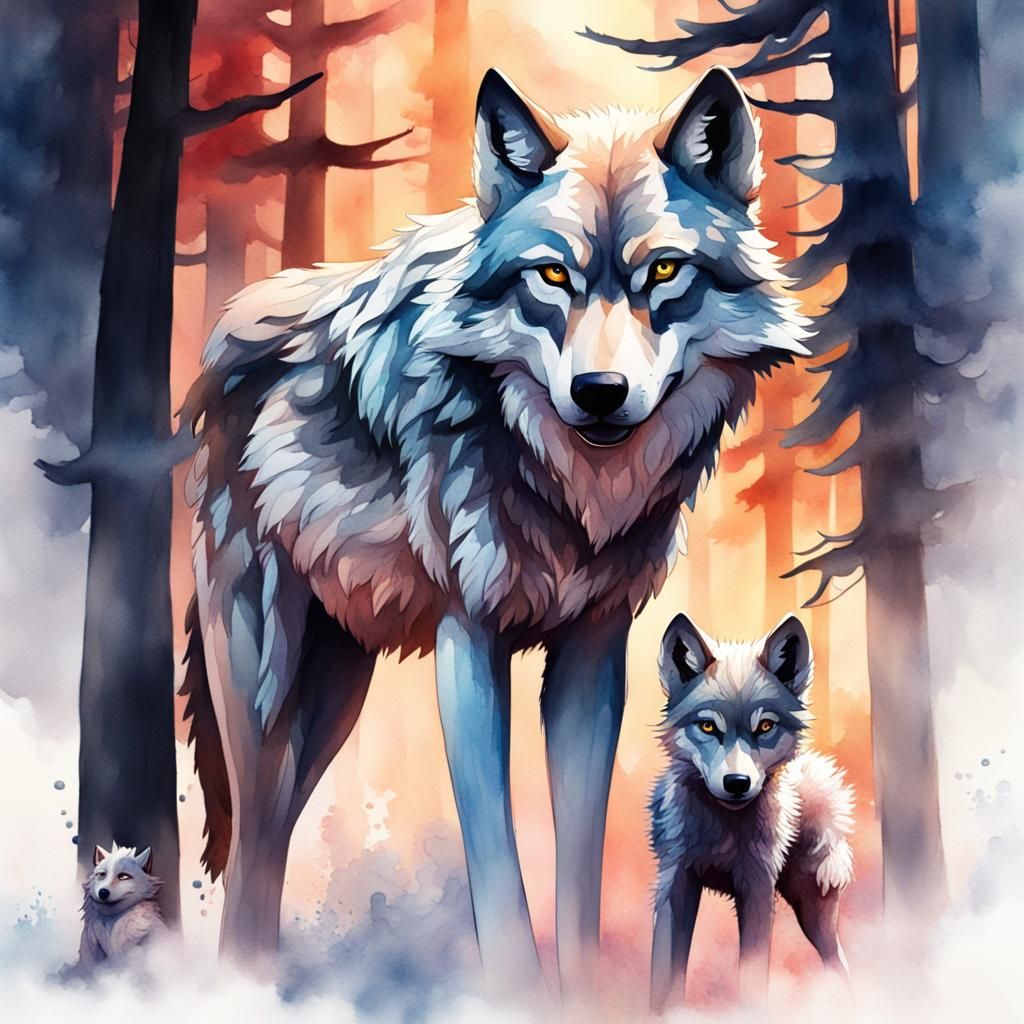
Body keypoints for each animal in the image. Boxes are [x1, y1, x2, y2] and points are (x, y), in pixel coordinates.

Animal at [180, 64, 810, 996]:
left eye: (665, 269)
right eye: (550, 276)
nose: (599, 392)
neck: (571, 488)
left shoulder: (594, 649)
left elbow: (579, 862)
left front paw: (584, 997)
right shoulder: (468, 638)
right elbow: (497, 865)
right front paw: (516, 996)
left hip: (336, 693)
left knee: (274, 836)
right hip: (264, 682)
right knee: (255, 837)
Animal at [649, 613, 854, 1010]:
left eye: (765, 726)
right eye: (708, 725)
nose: (737, 782)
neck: (723, 830)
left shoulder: (757, 888)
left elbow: (753, 975)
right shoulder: (675, 883)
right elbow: (665, 976)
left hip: (811, 905)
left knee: (839, 963)